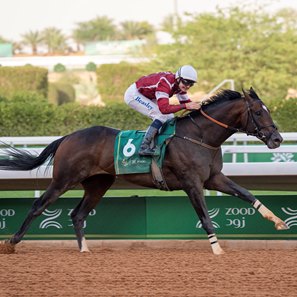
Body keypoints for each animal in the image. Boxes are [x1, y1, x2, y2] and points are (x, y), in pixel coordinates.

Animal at [0, 86, 288, 253]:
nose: (277, 139)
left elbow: (247, 194)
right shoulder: (192, 183)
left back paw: (84, 249)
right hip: (64, 179)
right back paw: (12, 242)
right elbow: (205, 216)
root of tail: (68, 137)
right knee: (38, 206)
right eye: (259, 113)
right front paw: (217, 248)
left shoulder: (214, 178)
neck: (200, 136)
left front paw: (277, 220)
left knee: (77, 214)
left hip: (98, 184)